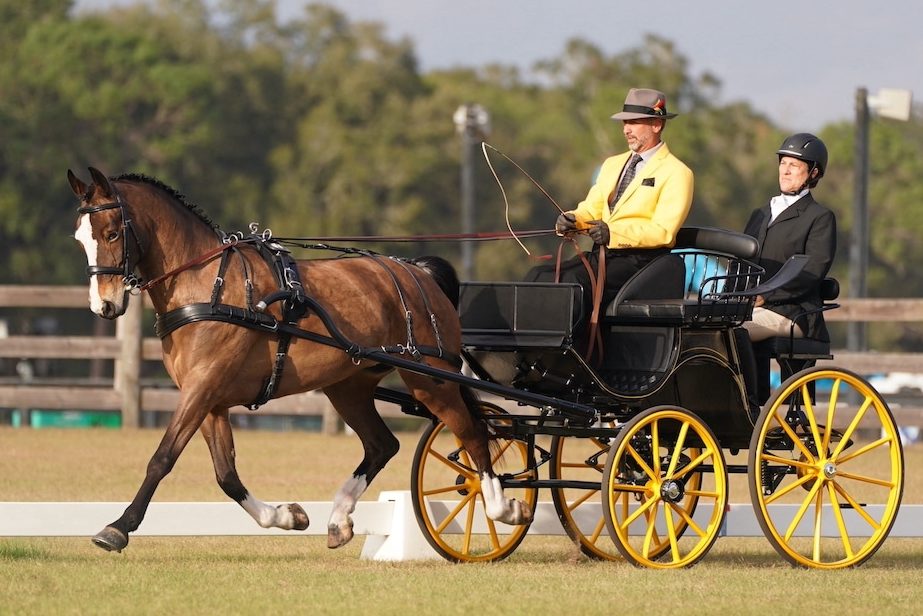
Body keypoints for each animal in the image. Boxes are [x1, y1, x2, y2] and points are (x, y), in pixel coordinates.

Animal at [67, 166, 536, 552]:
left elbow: (162, 458)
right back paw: (340, 518)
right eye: (80, 238)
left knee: (472, 433)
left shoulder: (202, 388)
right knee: (383, 444)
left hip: (432, 378)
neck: (205, 284)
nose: (104, 306)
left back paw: (501, 506)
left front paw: (118, 528)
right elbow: (226, 474)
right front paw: (285, 516)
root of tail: (417, 271)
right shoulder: (208, 397)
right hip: (349, 386)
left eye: (112, 233)